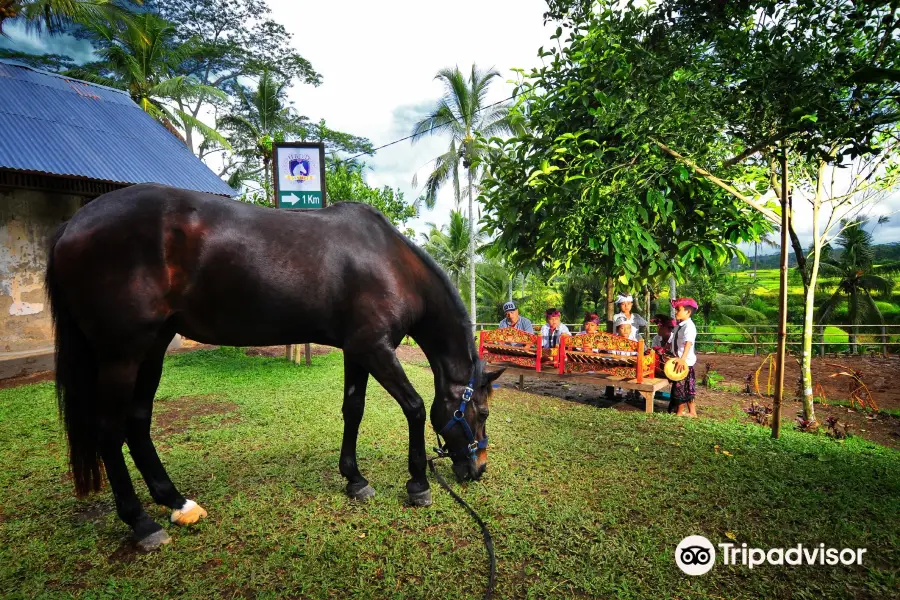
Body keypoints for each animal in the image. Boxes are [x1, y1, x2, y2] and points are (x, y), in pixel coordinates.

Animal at [45, 185, 502, 552]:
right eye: (481, 412)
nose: (478, 470)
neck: (390, 263)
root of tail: (71, 225)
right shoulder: (375, 348)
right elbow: (414, 406)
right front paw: (418, 485)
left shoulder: (357, 350)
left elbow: (353, 410)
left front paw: (355, 479)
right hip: (121, 354)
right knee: (109, 430)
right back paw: (141, 523)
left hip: (153, 347)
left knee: (138, 422)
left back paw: (177, 503)